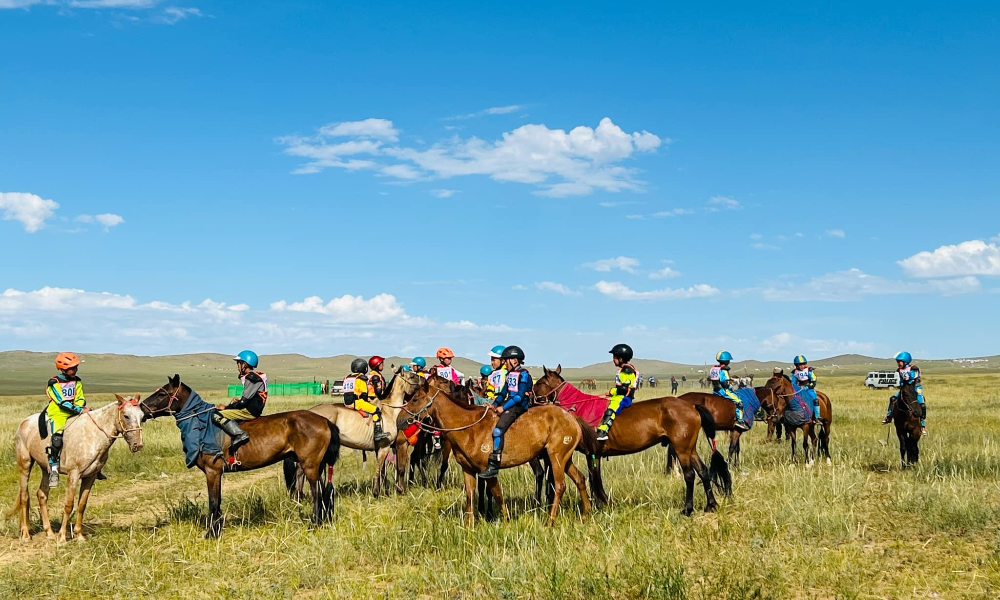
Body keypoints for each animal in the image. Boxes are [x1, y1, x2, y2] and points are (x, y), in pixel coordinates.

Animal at [9, 394, 145, 544]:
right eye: (126, 416)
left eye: (142, 416)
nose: (138, 444)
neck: (94, 435)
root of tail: (24, 422)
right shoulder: (73, 475)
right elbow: (69, 505)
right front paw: (62, 537)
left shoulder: (90, 477)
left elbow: (82, 505)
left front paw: (79, 535)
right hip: (25, 464)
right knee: (24, 496)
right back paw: (26, 535)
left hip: (46, 468)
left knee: (42, 495)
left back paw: (49, 532)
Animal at [139, 376, 344, 540]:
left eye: (162, 393)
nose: (140, 408)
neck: (202, 425)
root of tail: (324, 420)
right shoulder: (218, 473)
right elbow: (218, 501)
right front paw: (217, 529)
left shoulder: (212, 472)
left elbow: (213, 502)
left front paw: (211, 533)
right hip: (318, 466)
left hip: (310, 466)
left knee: (317, 493)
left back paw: (314, 523)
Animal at [286, 368, 418, 500]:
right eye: (412, 376)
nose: (421, 382)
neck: (389, 411)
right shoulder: (385, 447)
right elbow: (381, 468)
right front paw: (377, 492)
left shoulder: (379, 448)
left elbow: (383, 471)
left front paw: (384, 492)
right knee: (302, 470)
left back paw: (300, 496)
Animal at [394, 376, 588, 524]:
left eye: (415, 399)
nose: (399, 421)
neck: (469, 427)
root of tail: (571, 418)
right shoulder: (468, 470)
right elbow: (470, 496)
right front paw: (469, 525)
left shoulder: (487, 471)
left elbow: (497, 494)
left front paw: (506, 520)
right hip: (565, 459)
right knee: (580, 479)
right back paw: (586, 513)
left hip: (556, 458)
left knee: (560, 486)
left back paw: (550, 521)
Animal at [532, 366, 736, 516]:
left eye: (540, 382)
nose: (530, 396)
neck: (581, 408)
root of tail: (692, 405)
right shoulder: (594, 454)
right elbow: (595, 479)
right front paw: (602, 504)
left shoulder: (593, 453)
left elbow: (594, 480)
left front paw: (600, 505)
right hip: (689, 448)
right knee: (703, 471)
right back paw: (711, 505)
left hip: (681, 449)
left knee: (690, 475)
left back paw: (687, 509)